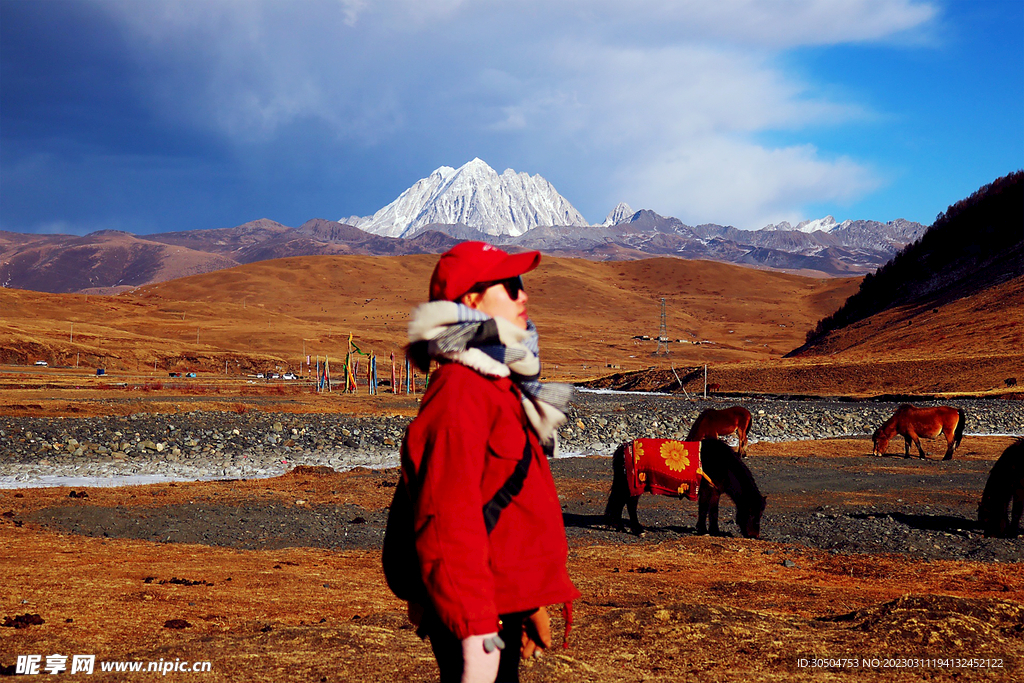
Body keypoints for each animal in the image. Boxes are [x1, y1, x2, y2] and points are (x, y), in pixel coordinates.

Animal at [602, 438, 765, 540]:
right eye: (752, 513)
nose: (754, 535)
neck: (722, 464)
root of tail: (623, 449)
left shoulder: (714, 492)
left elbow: (710, 511)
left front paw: (712, 531)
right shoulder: (707, 489)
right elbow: (706, 510)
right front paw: (705, 531)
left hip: (625, 485)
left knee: (619, 502)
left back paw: (619, 527)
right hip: (636, 485)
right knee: (630, 505)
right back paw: (638, 530)